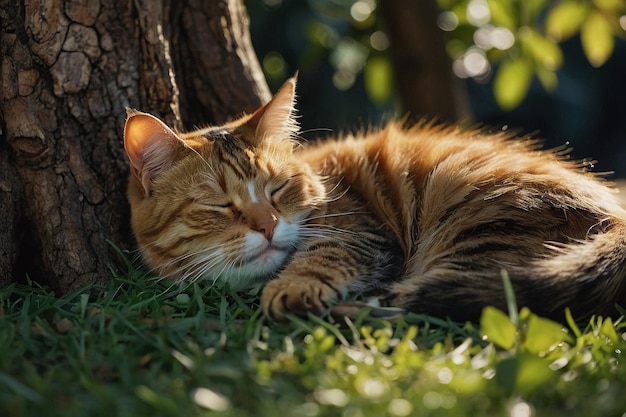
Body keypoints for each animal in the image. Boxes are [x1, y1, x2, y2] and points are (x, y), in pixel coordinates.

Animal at [124, 78, 624, 324]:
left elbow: (321, 259)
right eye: (220, 206)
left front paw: (291, 288)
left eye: (278, 188)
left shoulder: (360, 235)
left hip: (473, 224)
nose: (267, 225)